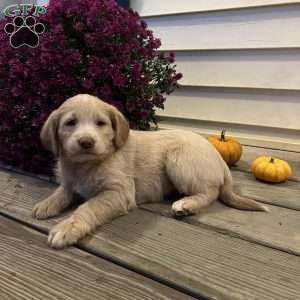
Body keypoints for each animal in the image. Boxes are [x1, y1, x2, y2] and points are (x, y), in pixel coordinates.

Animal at [32, 94, 268, 248]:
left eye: (101, 123)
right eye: (70, 123)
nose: (86, 142)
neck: (86, 165)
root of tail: (219, 159)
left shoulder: (119, 192)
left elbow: (88, 207)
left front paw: (67, 228)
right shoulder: (70, 182)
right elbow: (62, 191)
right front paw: (46, 204)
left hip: (179, 161)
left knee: (210, 192)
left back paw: (186, 204)